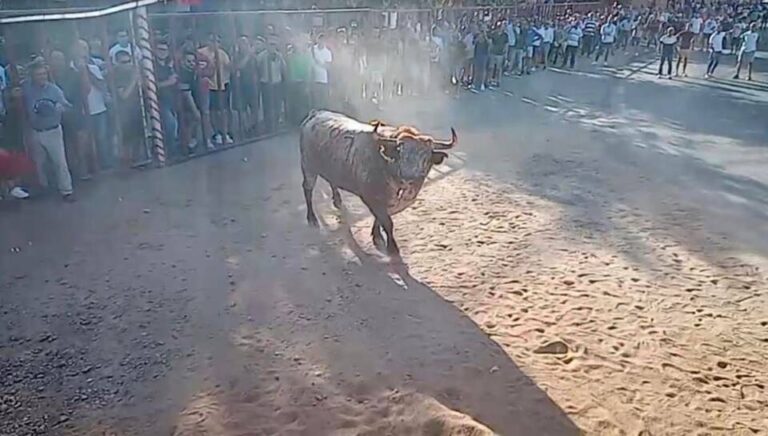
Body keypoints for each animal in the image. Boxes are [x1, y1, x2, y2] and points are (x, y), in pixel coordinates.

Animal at [300, 110, 456, 258]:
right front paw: (392, 248)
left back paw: (337, 201)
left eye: (425, 155)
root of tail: (315, 113)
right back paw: (312, 218)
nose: (408, 177)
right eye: (400, 152)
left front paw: (377, 236)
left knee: (332, 181)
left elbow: (379, 219)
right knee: (308, 189)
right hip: (308, 167)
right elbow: (387, 223)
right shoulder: (372, 198)